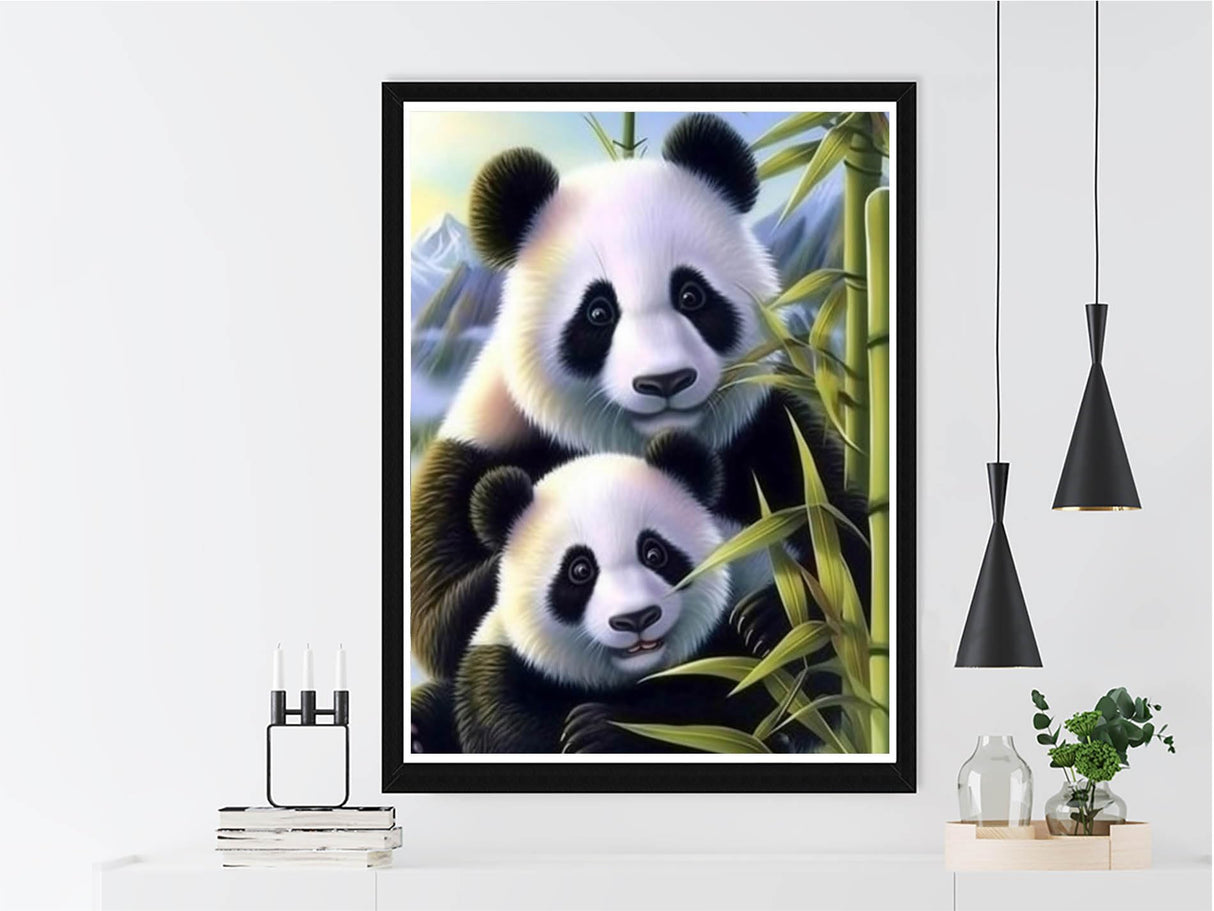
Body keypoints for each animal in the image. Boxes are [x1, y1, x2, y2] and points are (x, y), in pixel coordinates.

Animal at [410, 113, 867, 685]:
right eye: (598, 312)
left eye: (691, 295)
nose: (665, 380)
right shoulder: (483, 447)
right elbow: (438, 620)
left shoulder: (771, 429)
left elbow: (851, 546)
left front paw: (771, 616)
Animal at [414, 433, 795, 753]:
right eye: (580, 571)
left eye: (654, 553)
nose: (636, 618)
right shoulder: (503, 661)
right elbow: (509, 728)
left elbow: (742, 701)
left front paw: (600, 730)